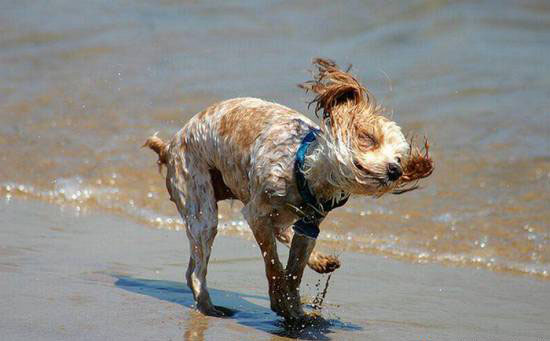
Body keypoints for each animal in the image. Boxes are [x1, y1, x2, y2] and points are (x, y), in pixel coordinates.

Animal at [146, 58, 436, 322]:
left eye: (400, 158)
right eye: (368, 138)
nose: (395, 170)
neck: (304, 171)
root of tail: (169, 145)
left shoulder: (310, 224)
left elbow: (294, 270)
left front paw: (295, 309)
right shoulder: (257, 214)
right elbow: (274, 264)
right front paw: (281, 301)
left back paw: (321, 261)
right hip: (202, 209)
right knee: (196, 272)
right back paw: (209, 308)